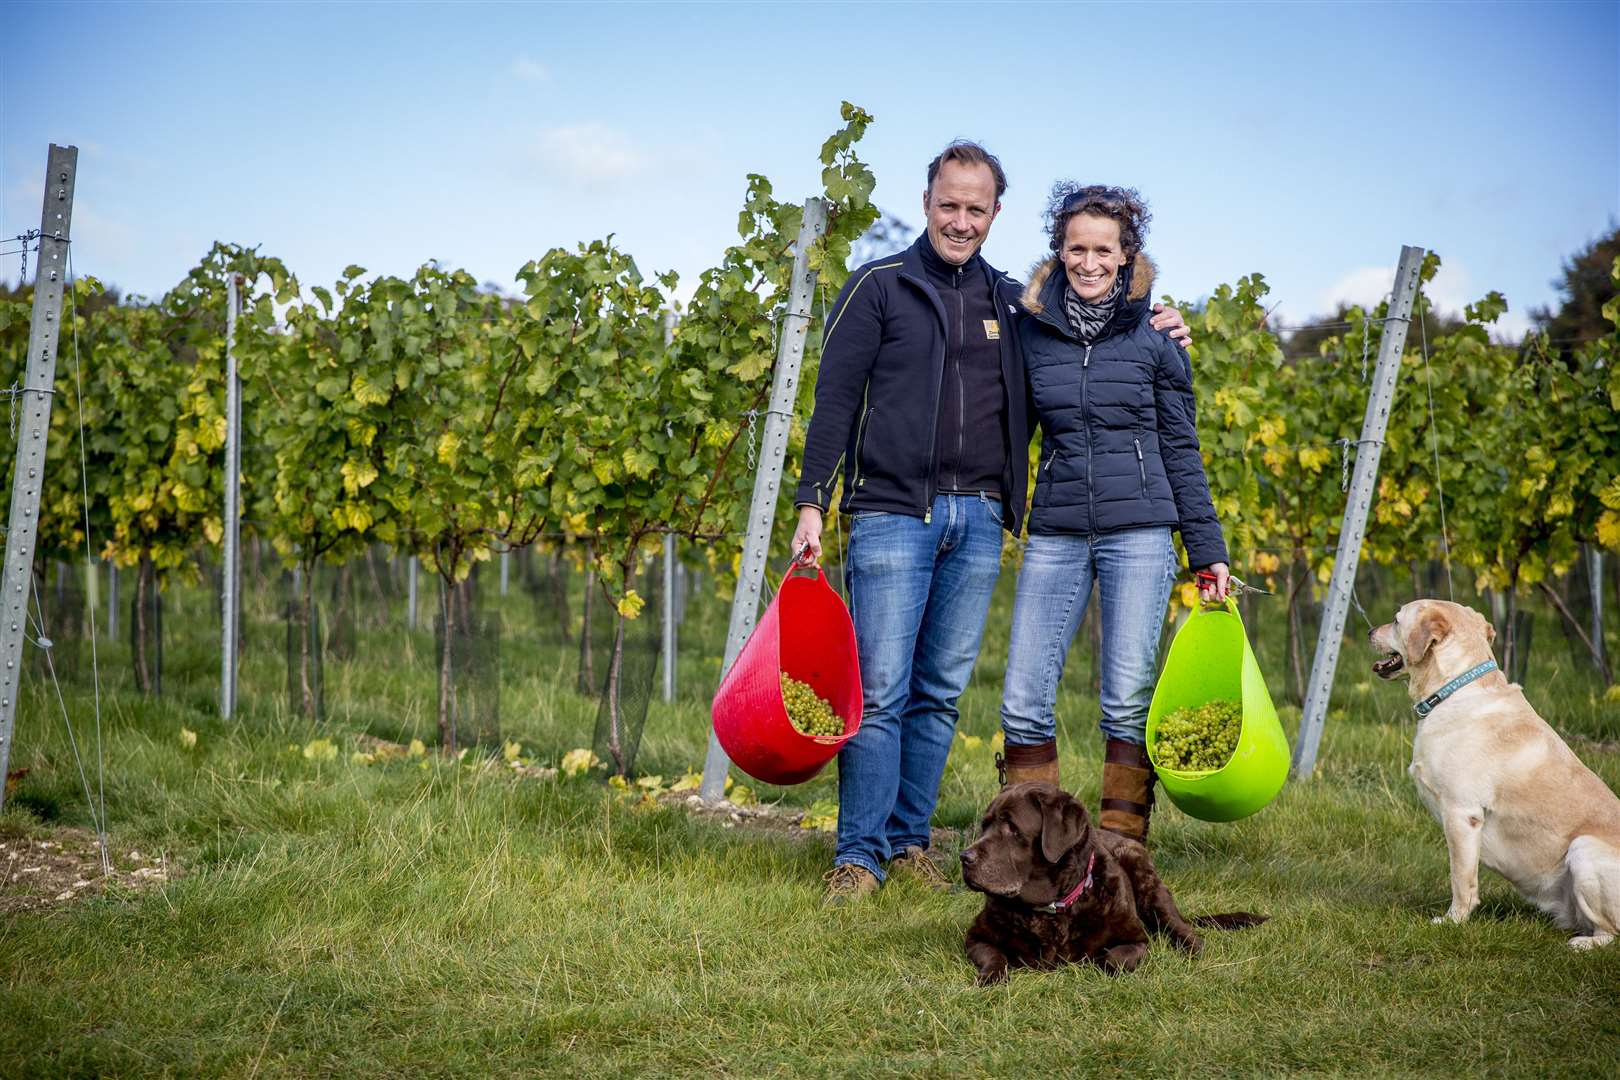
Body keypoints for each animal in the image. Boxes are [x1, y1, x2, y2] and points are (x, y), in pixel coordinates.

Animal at [952, 780, 1270, 984]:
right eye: (985, 825)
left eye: (1012, 827)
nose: (964, 857)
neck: (1053, 907)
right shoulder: (977, 937)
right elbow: (995, 957)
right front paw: (990, 977)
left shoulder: (1136, 939)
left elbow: (1113, 959)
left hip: (1144, 877)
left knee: (1180, 927)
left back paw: (1193, 949)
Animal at [1367, 595, 1620, 952]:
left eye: (1396, 619)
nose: (1369, 631)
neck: (1455, 689)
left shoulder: (1461, 814)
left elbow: (1461, 878)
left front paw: (1453, 922)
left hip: (1583, 850)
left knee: (1610, 931)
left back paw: (1582, 944)